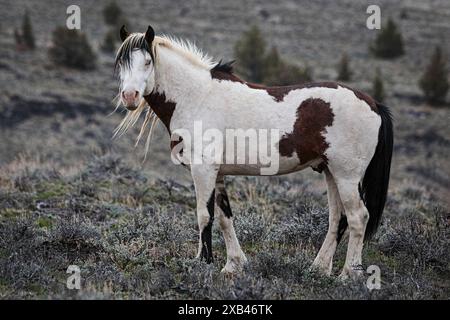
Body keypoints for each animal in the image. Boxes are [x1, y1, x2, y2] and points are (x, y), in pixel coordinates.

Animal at [114, 25, 392, 280]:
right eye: (121, 65)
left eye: (148, 62)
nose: (129, 96)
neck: (197, 97)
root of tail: (373, 103)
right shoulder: (218, 174)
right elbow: (225, 217)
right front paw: (233, 265)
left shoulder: (203, 170)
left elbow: (205, 216)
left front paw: (202, 263)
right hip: (331, 173)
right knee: (338, 219)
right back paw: (319, 269)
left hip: (347, 175)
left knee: (358, 217)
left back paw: (349, 274)